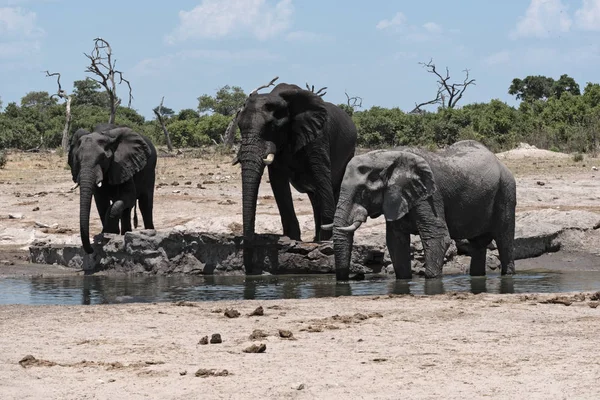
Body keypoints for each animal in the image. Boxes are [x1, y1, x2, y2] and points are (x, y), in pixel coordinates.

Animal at [68, 123, 157, 253]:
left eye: (103, 158)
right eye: (78, 159)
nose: (91, 250)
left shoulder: (123, 164)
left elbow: (128, 197)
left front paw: (111, 232)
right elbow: (101, 202)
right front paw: (108, 233)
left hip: (150, 171)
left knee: (145, 203)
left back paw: (148, 231)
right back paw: (125, 233)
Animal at [234, 83, 356, 274]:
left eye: (271, 126)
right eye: (238, 125)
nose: (249, 270)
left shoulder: (318, 136)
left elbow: (321, 175)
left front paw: (326, 243)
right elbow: (278, 182)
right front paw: (292, 239)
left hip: (349, 153)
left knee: (332, 189)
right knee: (315, 197)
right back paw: (315, 238)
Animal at [326, 141, 516, 282]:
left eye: (363, 191)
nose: (353, 277)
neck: (390, 156)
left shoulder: (430, 195)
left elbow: (438, 236)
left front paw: (431, 279)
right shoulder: (396, 197)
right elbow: (395, 241)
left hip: (506, 192)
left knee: (504, 241)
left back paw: (508, 274)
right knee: (478, 245)